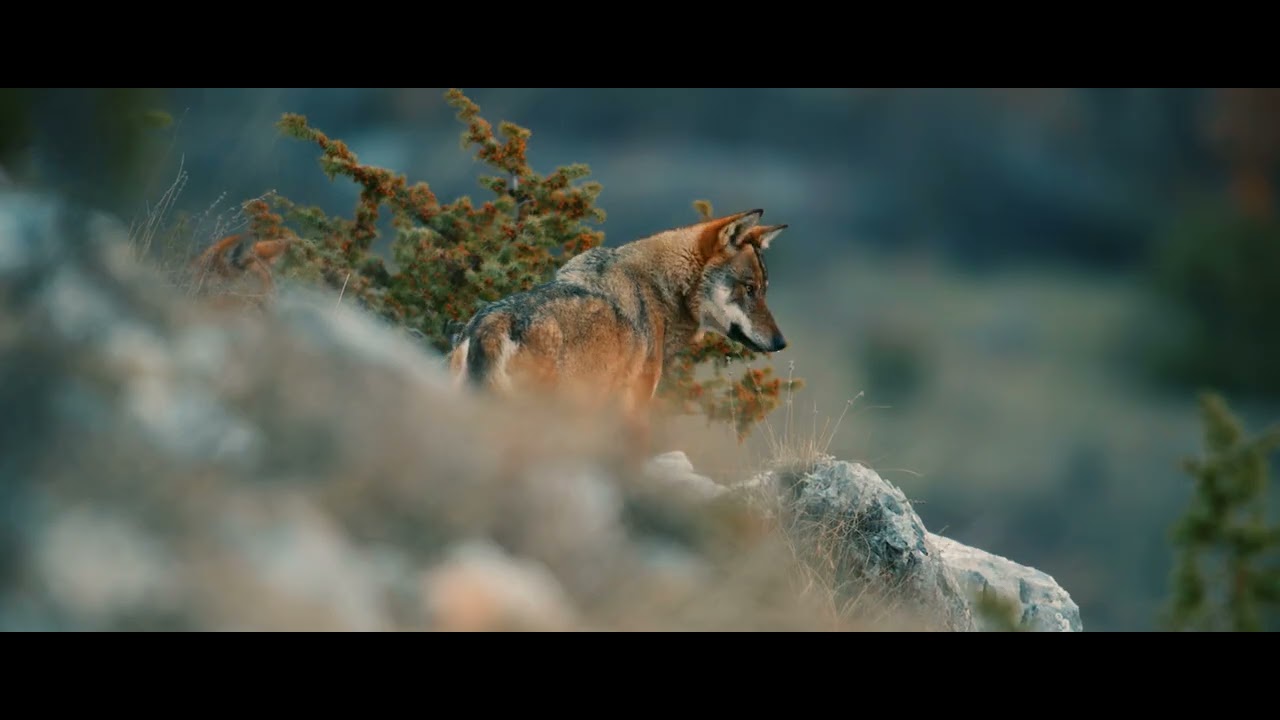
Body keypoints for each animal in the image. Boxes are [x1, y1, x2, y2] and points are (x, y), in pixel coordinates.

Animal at [448, 208, 788, 451]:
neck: (660, 290)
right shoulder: (634, 406)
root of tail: (489, 324)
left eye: (765, 290)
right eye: (749, 288)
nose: (781, 343)